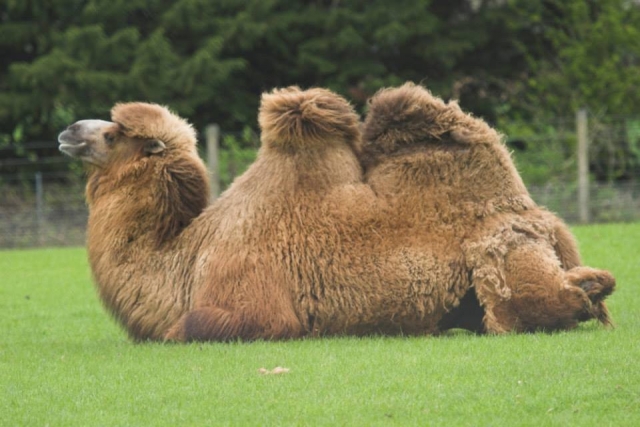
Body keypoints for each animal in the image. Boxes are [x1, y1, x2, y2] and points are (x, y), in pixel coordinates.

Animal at [58, 86, 615, 342]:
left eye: (113, 134)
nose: (68, 130)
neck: (185, 257)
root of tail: (537, 213)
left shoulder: (248, 298)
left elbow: (188, 329)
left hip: (503, 253)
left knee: (554, 301)